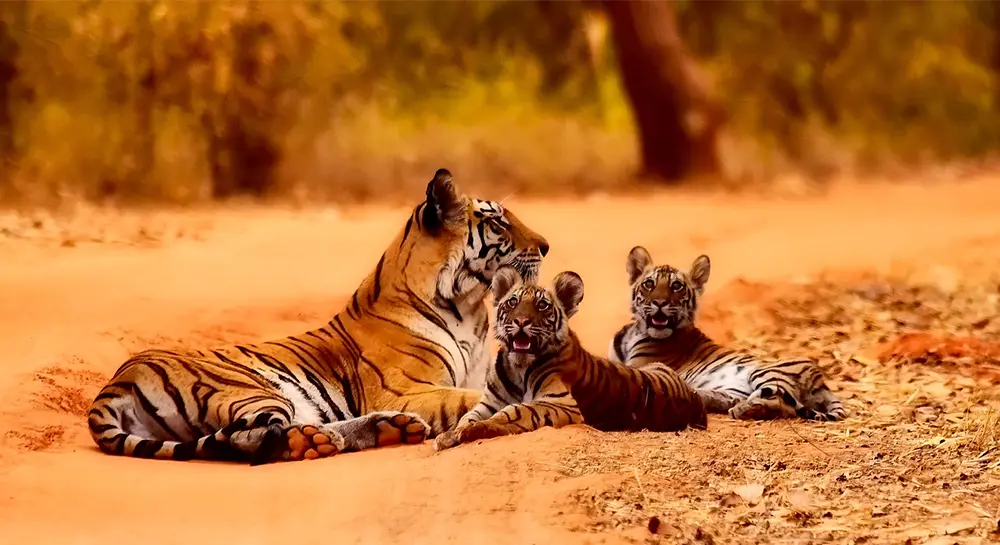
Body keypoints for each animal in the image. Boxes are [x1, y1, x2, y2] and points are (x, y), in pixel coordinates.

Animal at [87, 168, 550, 464]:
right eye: (499, 223)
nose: (546, 246)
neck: (470, 308)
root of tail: (116, 382)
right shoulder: (407, 389)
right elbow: (470, 399)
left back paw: (387, 430)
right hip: (251, 389)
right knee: (249, 438)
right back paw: (321, 440)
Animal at [433, 266, 707, 451]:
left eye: (542, 305)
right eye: (512, 302)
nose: (521, 321)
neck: (517, 367)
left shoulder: (561, 402)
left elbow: (515, 411)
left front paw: (474, 430)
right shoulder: (489, 401)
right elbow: (469, 415)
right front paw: (450, 435)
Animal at [608, 246, 847, 422]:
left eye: (676, 286)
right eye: (649, 284)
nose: (659, 302)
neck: (636, 331)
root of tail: (821, 381)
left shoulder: (640, 367)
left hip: (766, 372)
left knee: (781, 403)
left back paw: (746, 409)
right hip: (734, 389)